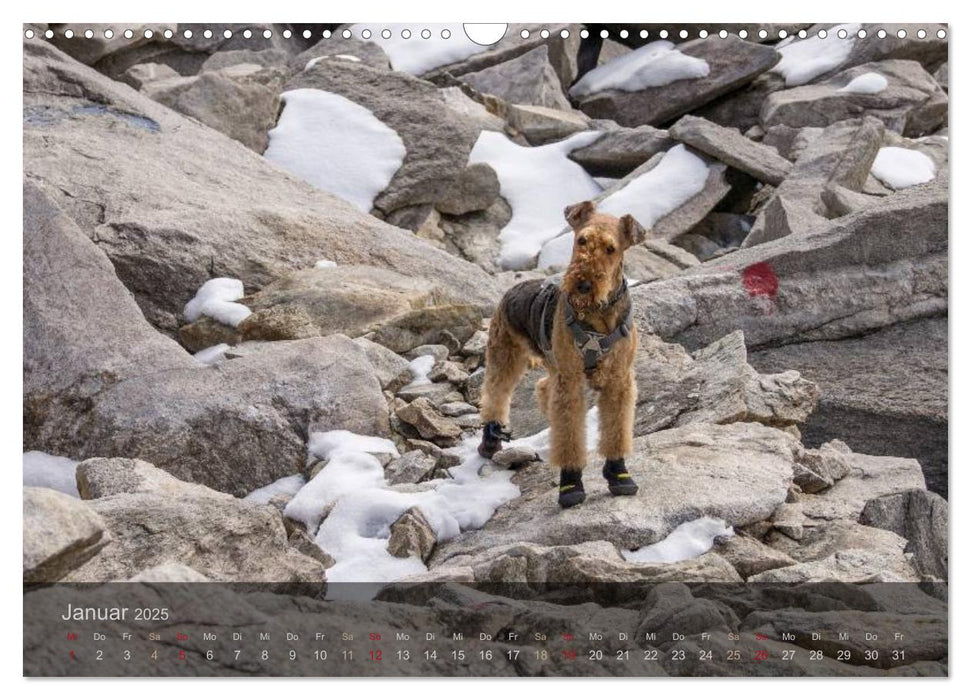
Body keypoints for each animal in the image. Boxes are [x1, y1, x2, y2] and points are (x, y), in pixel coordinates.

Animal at [476, 201, 644, 508]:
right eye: (582, 240)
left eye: (611, 248)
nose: (583, 284)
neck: (598, 316)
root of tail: (514, 287)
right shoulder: (571, 381)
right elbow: (569, 435)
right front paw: (571, 484)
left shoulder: (618, 380)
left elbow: (616, 429)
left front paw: (619, 474)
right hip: (505, 355)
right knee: (495, 396)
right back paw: (491, 440)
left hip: (549, 365)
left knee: (543, 388)